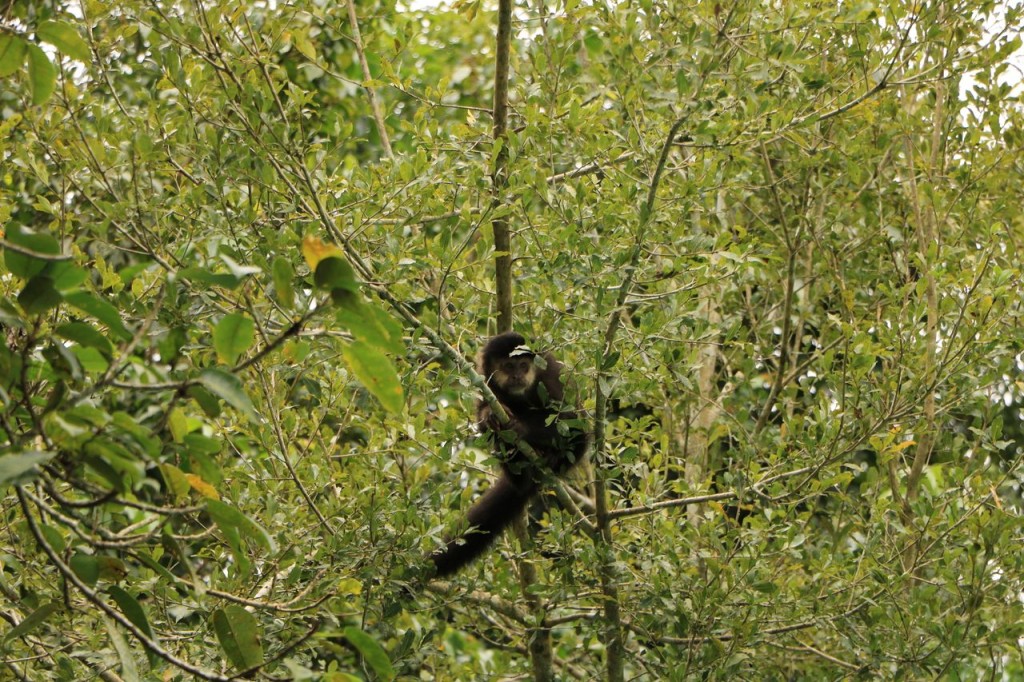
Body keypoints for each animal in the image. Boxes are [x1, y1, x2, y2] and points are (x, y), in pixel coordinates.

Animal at [429, 332, 589, 578]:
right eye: (507, 366)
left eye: (523, 366)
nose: (516, 376)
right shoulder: (484, 379)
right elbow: (482, 420)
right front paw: (489, 416)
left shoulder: (549, 375)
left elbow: (572, 421)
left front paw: (519, 427)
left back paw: (548, 457)